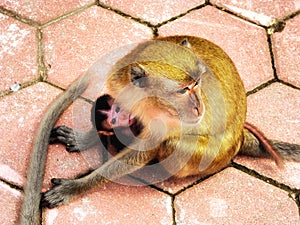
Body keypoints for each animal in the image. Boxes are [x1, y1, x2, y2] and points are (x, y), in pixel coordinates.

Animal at [20, 35, 300, 225]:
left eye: (197, 83)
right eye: (183, 89)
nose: (199, 107)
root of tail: (241, 137)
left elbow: (142, 152)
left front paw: (75, 187)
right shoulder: (120, 81)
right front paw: (88, 138)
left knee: (175, 144)